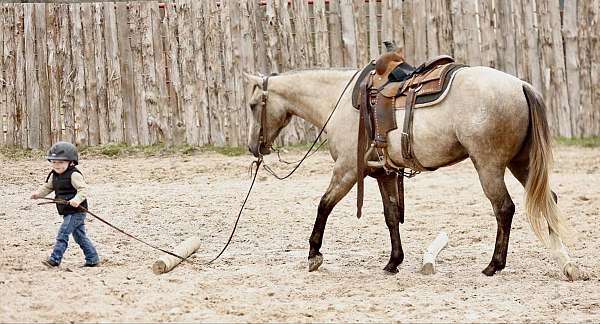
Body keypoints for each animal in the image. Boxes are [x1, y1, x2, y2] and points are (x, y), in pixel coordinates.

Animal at [244, 65, 584, 278]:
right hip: (521, 163)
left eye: (252, 105)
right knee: (547, 201)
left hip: (489, 165)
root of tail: (519, 85)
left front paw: (314, 254)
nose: (252, 147)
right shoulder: (382, 173)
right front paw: (393, 262)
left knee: (504, 208)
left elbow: (324, 205)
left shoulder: (347, 171)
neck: (340, 103)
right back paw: (566, 263)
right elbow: (391, 216)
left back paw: (494, 265)